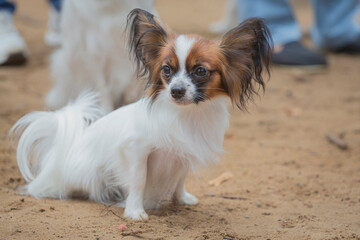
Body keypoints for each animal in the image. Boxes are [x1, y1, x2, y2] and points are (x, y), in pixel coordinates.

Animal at [10, 8, 270, 219]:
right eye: (166, 70)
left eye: (200, 71)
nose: (176, 90)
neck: (186, 114)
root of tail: (59, 158)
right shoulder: (136, 150)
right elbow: (139, 180)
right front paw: (135, 211)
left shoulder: (183, 152)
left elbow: (180, 178)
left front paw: (182, 199)